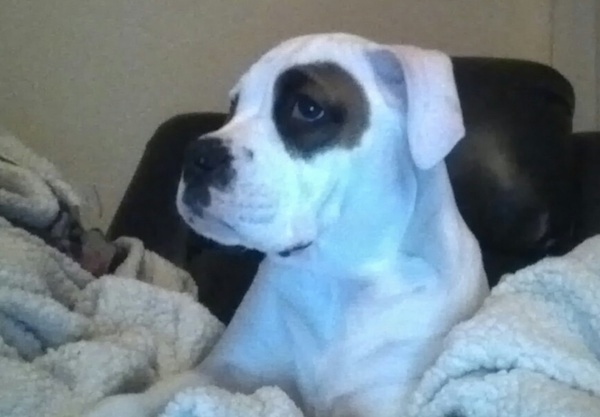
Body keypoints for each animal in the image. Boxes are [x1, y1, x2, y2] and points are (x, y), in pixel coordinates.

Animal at [90, 34, 492, 416]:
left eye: (308, 109)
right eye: (234, 107)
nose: (197, 155)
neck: (337, 278)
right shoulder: (221, 372)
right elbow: (143, 399)